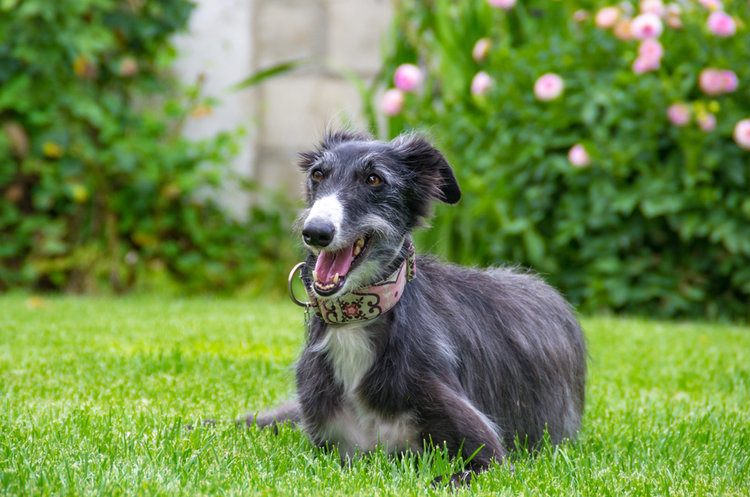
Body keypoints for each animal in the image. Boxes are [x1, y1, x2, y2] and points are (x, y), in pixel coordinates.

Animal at [247, 131, 588, 484]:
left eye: (374, 179)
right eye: (318, 174)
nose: (315, 232)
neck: (356, 323)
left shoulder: (490, 458)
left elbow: (446, 477)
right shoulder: (334, 450)